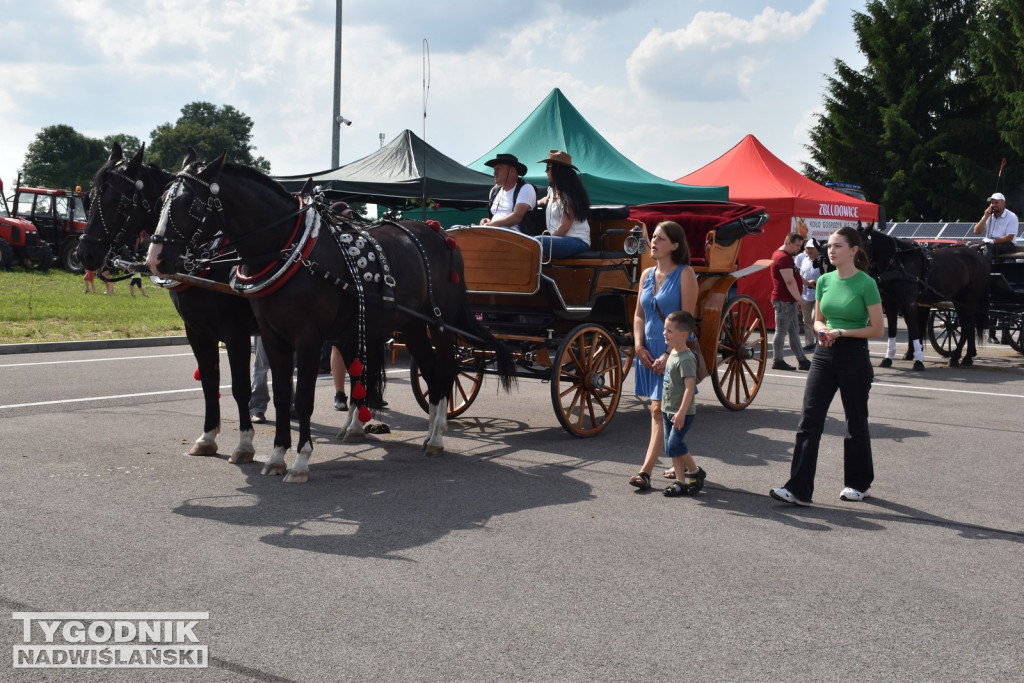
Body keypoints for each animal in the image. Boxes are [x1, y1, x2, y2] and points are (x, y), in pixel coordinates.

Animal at [81, 146, 262, 462]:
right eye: (90, 198)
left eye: (120, 202)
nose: (84, 254)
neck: (207, 260)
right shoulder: (197, 331)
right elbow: (209, 383)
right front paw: (207, 437)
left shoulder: (236, 333)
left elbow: (240, 387)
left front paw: (244, 444)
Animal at [142, 152, 520, 483]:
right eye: (160, 202)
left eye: (190, 204)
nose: (156, 259)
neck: (290, 251)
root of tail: (440, 233)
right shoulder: (264, 336)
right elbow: (278, 395)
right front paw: (275, 455)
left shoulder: (297, 337)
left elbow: (296, 397)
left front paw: (298, 461)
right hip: (409, 326)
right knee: (426, 370)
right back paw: (420, 433)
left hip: (438, 323)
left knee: (445, 369)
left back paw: (438, 436)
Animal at [856, 225, 991, 368]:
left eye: (862, 244)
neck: (898, 262)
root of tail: (980, 257)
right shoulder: (890, 302)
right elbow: (894, 330)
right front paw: (889, 358)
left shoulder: (909, 302)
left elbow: (914, 328)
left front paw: (918, 361)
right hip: (960, 300)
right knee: (970, 325)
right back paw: (968, 356)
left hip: (968, 299)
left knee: (967, 325)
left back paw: (956, 357)